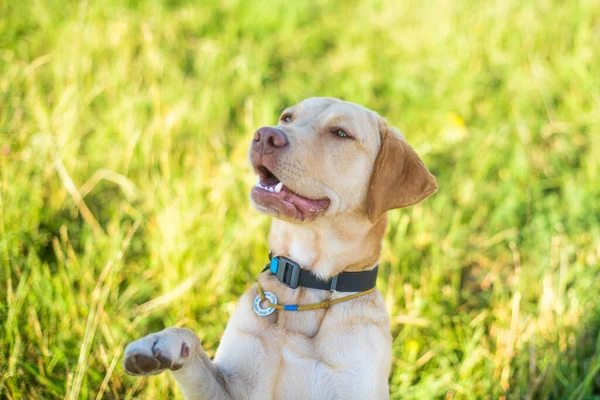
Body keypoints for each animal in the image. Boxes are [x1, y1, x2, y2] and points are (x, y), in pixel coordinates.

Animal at [125, 97, 436, 400]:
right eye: (287, 117)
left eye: (340, 133)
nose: (264, 136)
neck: (306, 284)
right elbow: (188, 335)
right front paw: (159, 342)